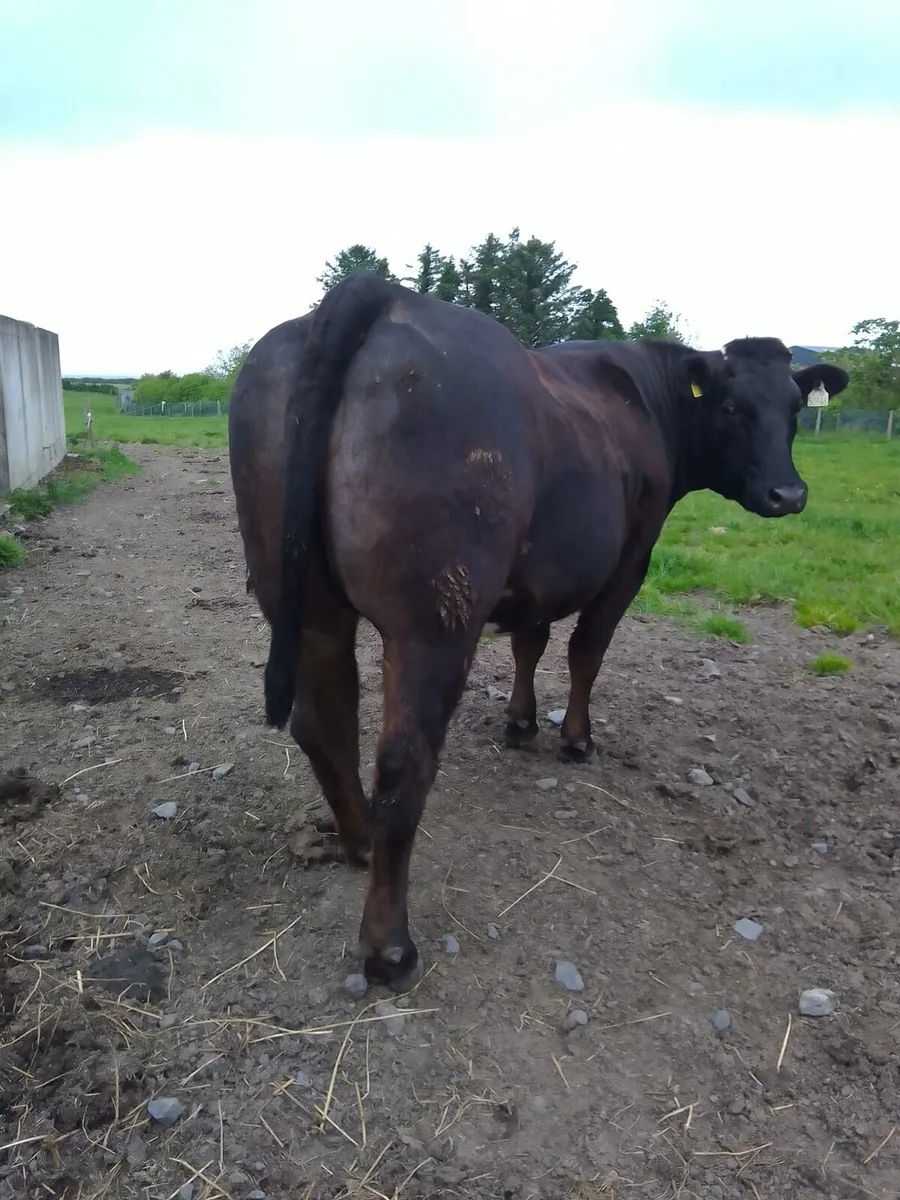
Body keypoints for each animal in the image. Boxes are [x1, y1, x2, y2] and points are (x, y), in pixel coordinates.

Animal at [228, 274, 849, 992]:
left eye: (796, 409)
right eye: (730, 407)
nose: (789, 494)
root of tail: (380, 294)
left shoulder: (543, 573)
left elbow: (532, 642)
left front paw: (520, 723)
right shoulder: (629, 560)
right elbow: (585, 651)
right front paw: (575, 738)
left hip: (306, 602)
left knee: (322, 724)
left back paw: (356, 843)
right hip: (434, 618)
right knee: (402, 760)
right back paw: (389, 946)